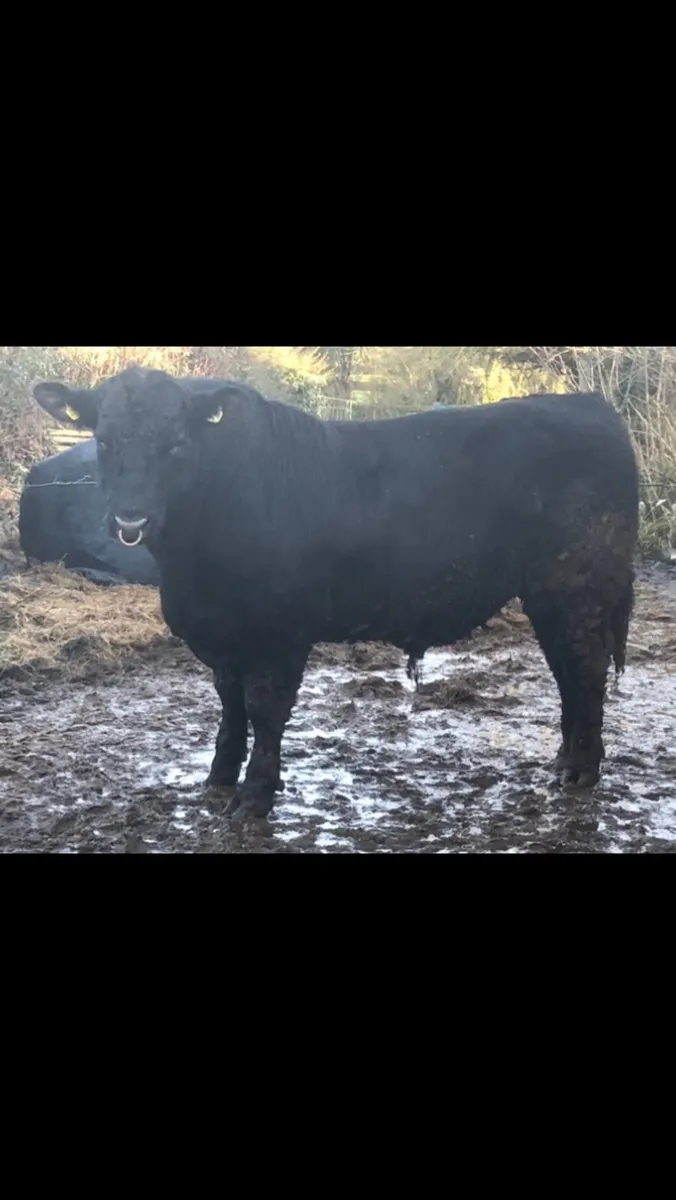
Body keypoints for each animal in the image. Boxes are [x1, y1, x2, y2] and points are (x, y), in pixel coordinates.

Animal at [33, 369, 639, 823]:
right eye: (103, 441)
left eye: (176, 443)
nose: (130, 518)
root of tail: (591, 407)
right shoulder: (221, 634)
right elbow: (229, 703)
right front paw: (218, 778)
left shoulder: (279, 631)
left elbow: (264, 708)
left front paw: (255, 796)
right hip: (551, 595)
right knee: (568, 675)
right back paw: (564, 761)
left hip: (577, 587)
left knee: (584, 673)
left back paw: (582, 771)